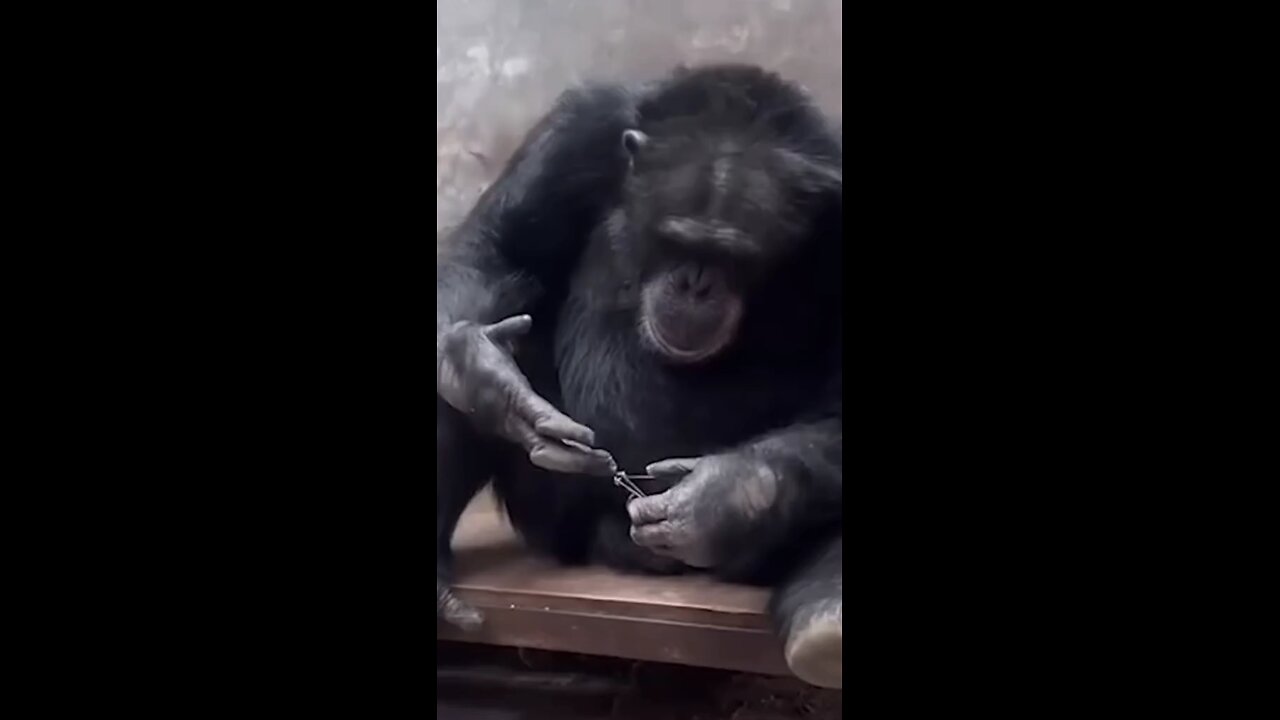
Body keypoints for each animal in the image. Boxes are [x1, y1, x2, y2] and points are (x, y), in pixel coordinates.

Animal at [435, 63, 844, 681]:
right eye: (673, 238)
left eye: (737, 256)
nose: (695, 283)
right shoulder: (576, 129)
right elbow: (500, 250)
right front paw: (490, 384)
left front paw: (724, 496)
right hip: (556, 525)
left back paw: (824, 618)